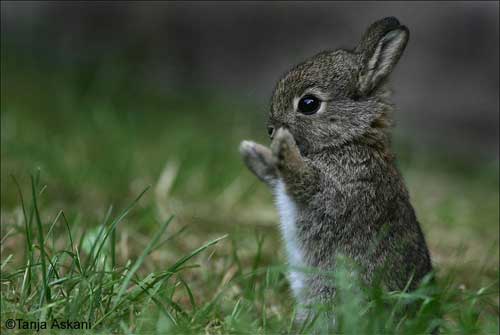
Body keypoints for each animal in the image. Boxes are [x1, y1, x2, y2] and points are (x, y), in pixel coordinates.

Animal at [240, 17, 432, 320]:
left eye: (308, 104)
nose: (271, 129)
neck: (350, 139)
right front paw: (252, 152)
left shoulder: (340, 190)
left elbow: (305, 181)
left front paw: (282, 144)